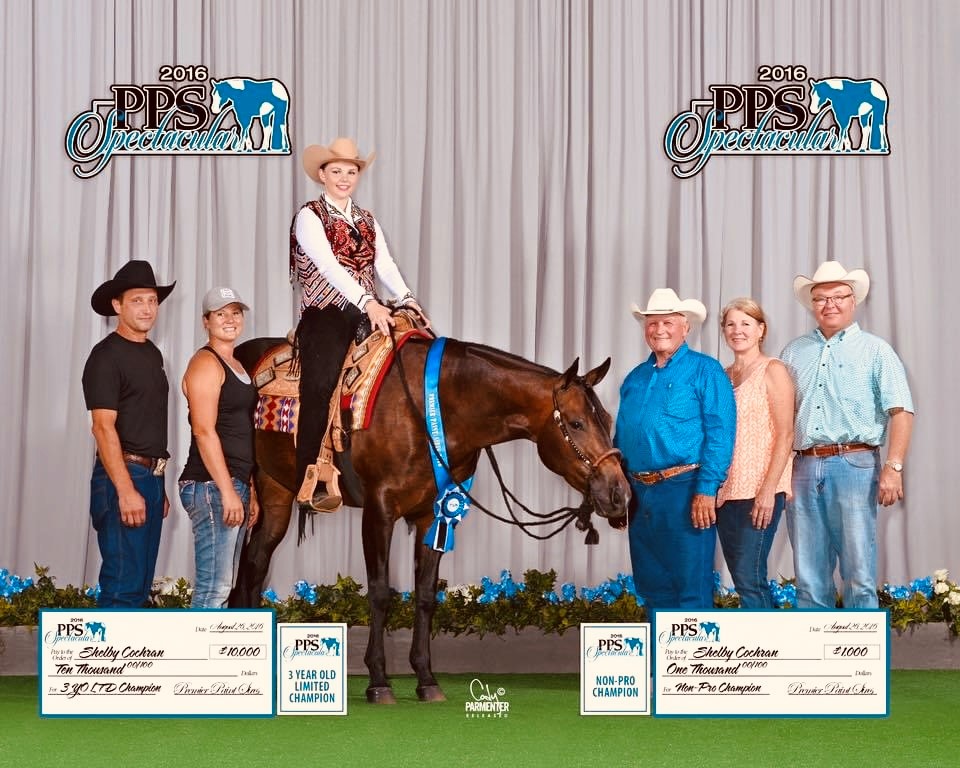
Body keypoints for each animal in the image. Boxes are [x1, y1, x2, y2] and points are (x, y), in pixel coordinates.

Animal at [230, 333, 630, 704]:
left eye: (608, 419)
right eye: (576, 424)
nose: (620, 494)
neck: (429, 411)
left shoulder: (434, 515)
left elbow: (424, 594)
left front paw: (426, 678)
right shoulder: (379, 511)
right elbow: (380, 592)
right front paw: (379, 681)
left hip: (276, 494)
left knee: (255, 562)